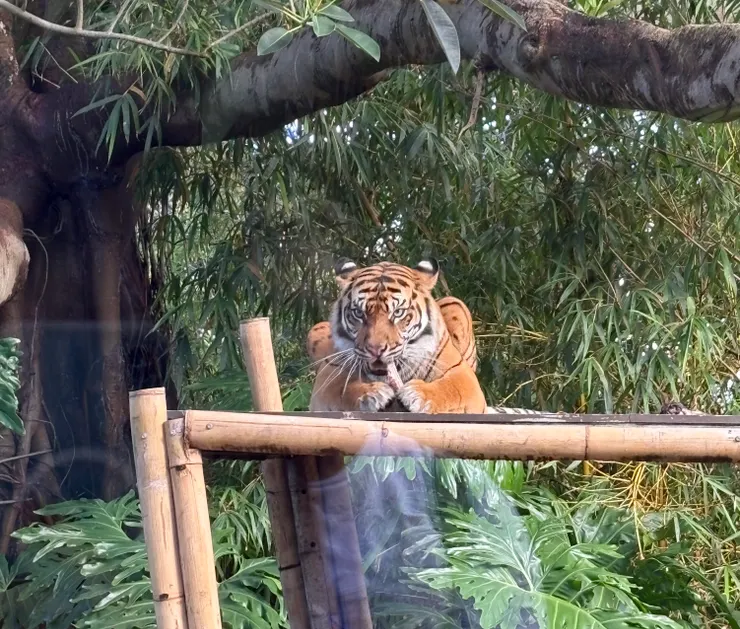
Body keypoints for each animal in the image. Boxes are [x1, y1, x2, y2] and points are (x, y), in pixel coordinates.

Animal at [307, 258, 486, 414]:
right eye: (358, 313)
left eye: (398, 312)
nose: (375, 350)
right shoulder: (328, 373)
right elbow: (342, 388)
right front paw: (371, 394)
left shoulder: (462, 373)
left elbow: (450, 389)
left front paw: (418, 394)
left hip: (455, 303)